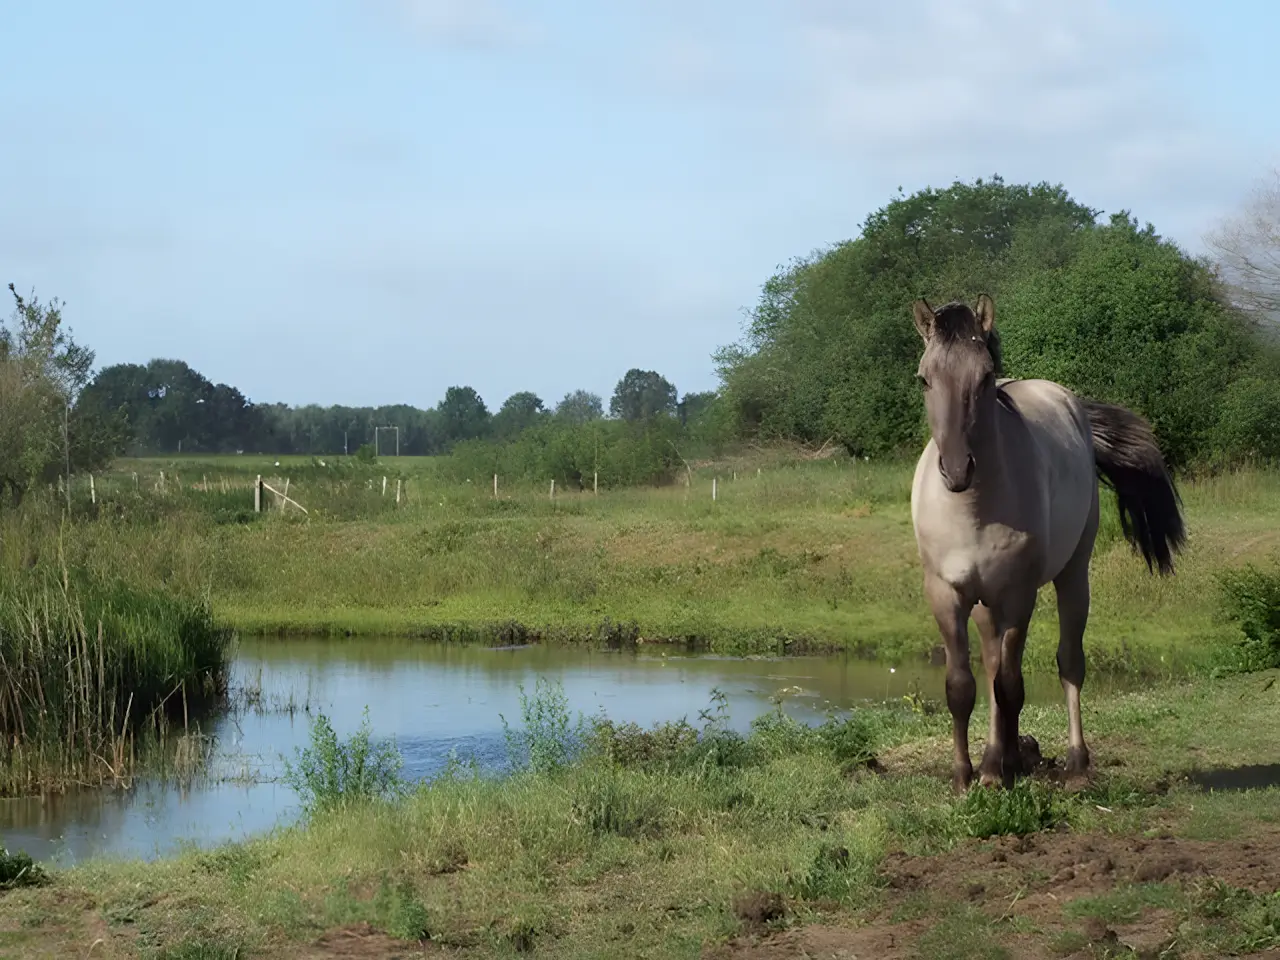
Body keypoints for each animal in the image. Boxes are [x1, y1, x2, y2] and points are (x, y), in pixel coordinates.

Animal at [909, 294, 1186, 791]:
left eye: (984, 377)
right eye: (924, 379)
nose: (957, 470)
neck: (972, 508)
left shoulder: (1019, 596)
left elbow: (1010, 686)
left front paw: (997, 770)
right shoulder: (945, 595)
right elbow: (963, 686)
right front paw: (964, 776)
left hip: (1071, 575)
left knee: (1067, 662)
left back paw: (1072, 762)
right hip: (986, 605)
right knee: (994, 666)